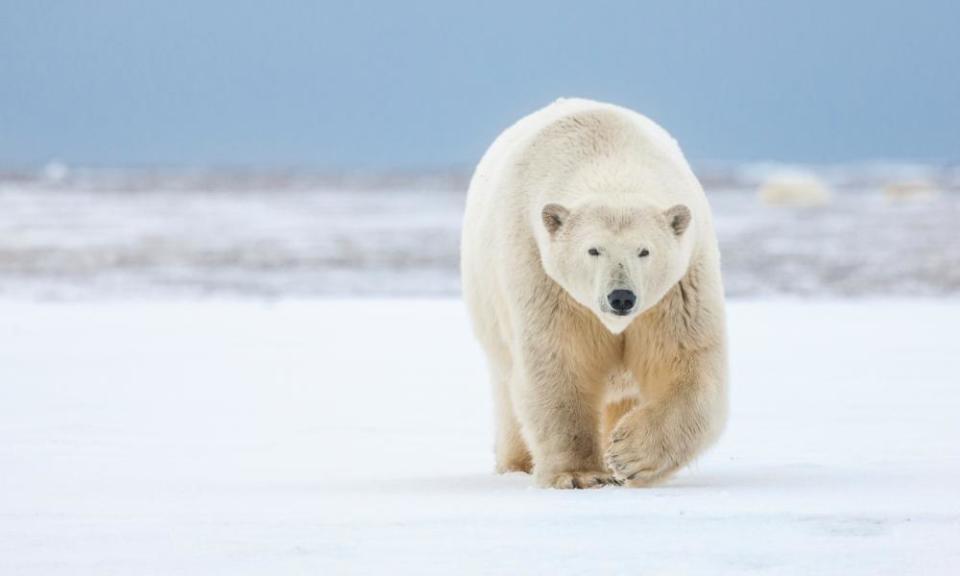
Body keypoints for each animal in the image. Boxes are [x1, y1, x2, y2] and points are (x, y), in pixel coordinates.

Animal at [460, 98, 728, 486]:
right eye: (593, 250)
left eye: (644, 251)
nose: (621, 297)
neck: (607, 155)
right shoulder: (543, 276)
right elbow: (559, 362)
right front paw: (579, 474)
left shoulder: (679, 287)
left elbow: (686, 362)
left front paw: (628, 456)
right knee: (508, 391)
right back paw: (517, 463)